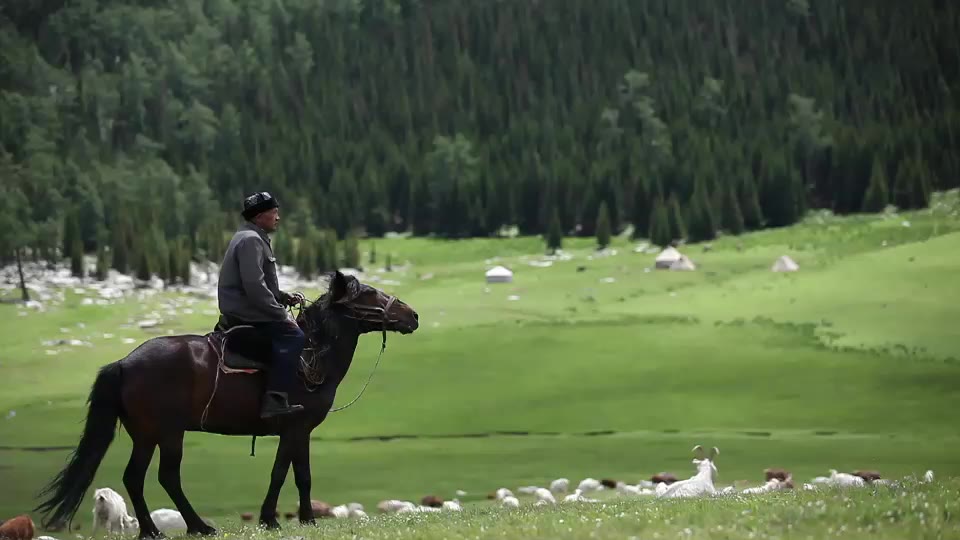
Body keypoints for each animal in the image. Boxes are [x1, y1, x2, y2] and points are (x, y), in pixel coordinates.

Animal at [33, 270, 419, 538]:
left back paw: (153, 531)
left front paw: (300, 519)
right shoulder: (294, 428)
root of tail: (124, 363)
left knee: (134, 478)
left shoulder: (299, 432)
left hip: (145, 435)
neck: (311, 357)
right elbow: (285, 474)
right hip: (169, 433)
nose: (413, 316)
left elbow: (299, 475)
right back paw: (198, 526)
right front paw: (276, 519)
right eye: (367, 293)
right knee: (166, 476)